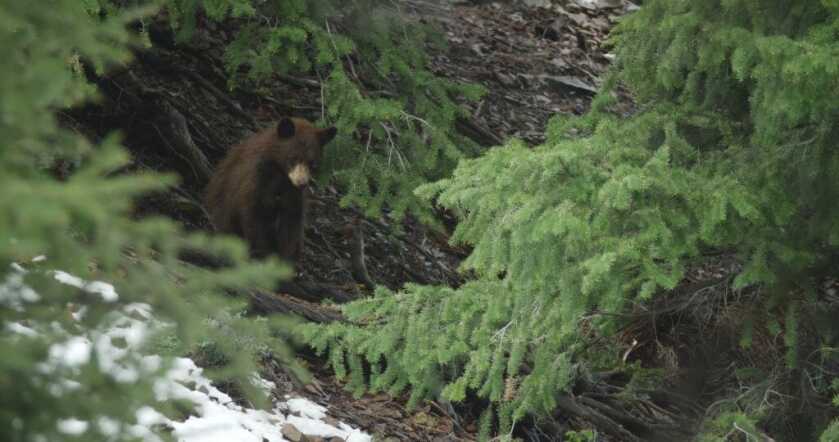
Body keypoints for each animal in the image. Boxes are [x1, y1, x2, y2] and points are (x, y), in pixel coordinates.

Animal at [205, 117, 337, 265]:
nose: (302, 182)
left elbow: (291, 223)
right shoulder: (256, 180)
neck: (280, 175)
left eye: (312, 163)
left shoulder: (292, 194)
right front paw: (261, 256)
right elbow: (253, 215)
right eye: (293, 158)